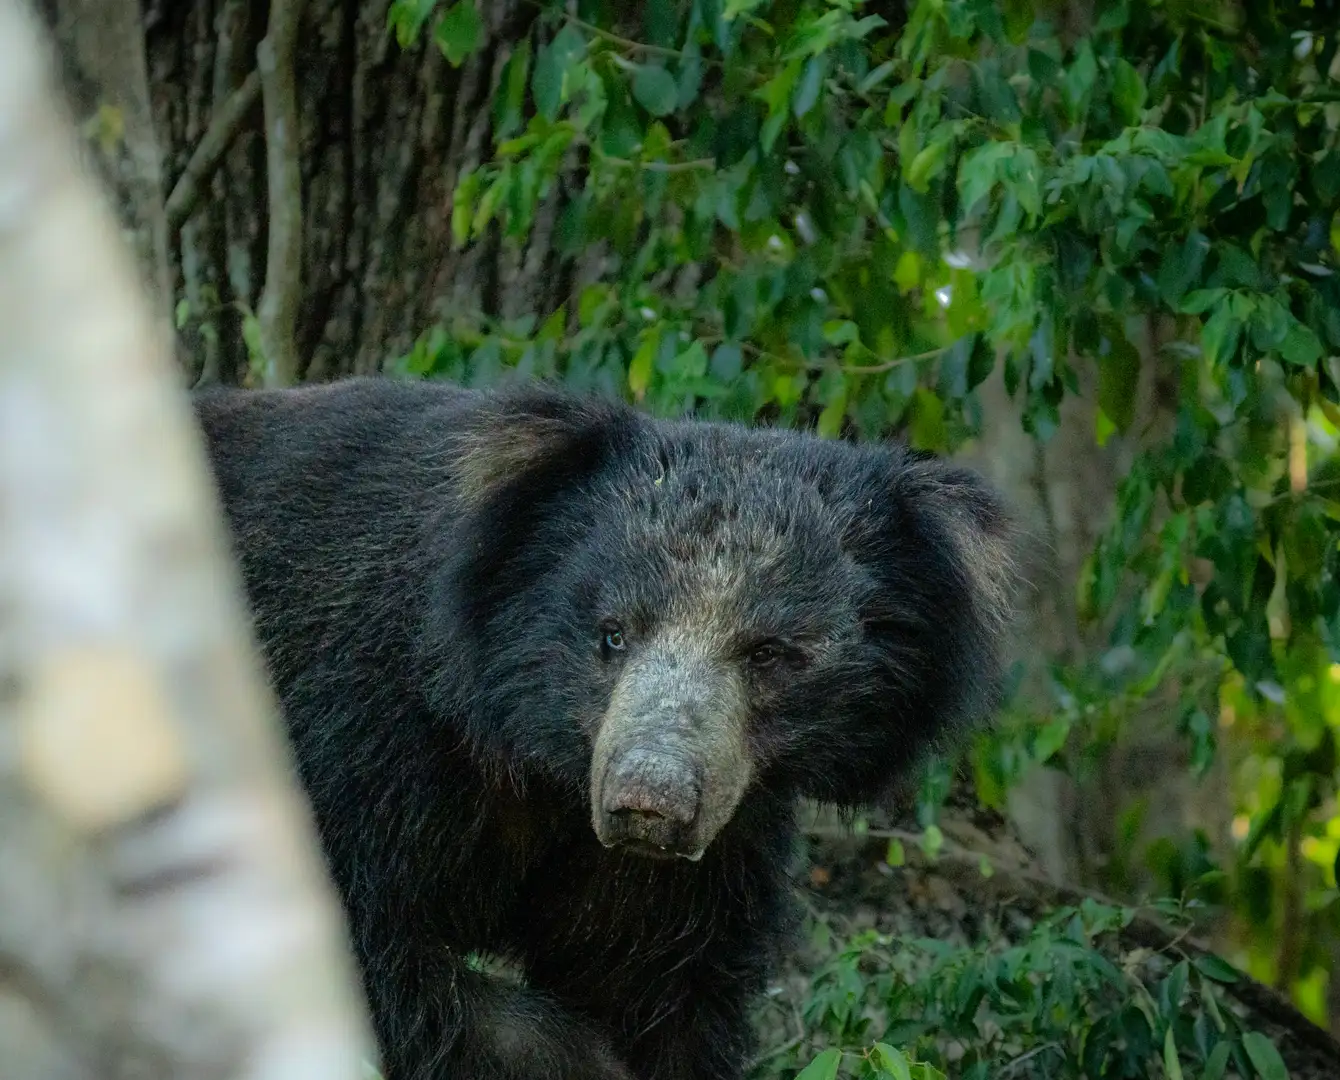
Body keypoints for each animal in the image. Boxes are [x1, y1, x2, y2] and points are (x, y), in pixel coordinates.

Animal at [191, 375, 1015, 1080]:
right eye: (613, 635)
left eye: (771, 653)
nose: (648, 797)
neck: (530, 752)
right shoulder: (353, 744)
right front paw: (573, 1055)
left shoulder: (677, 864)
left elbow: (652, 981)